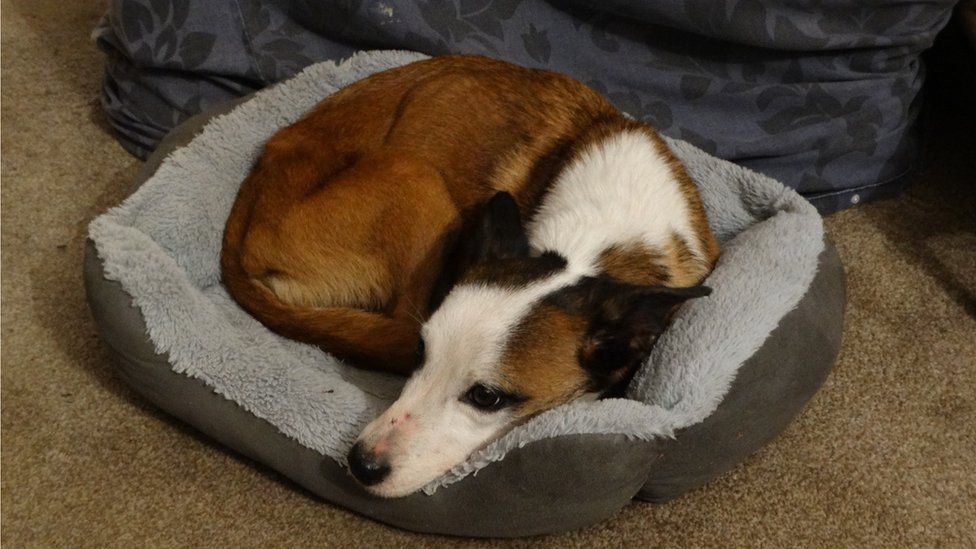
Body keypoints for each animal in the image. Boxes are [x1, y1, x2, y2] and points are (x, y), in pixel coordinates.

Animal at [223, 55, 724, 496]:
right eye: (421, 352)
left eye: (487, 398)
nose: (361, 465)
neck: (595, 246)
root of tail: (245, 219)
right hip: (415, 177)